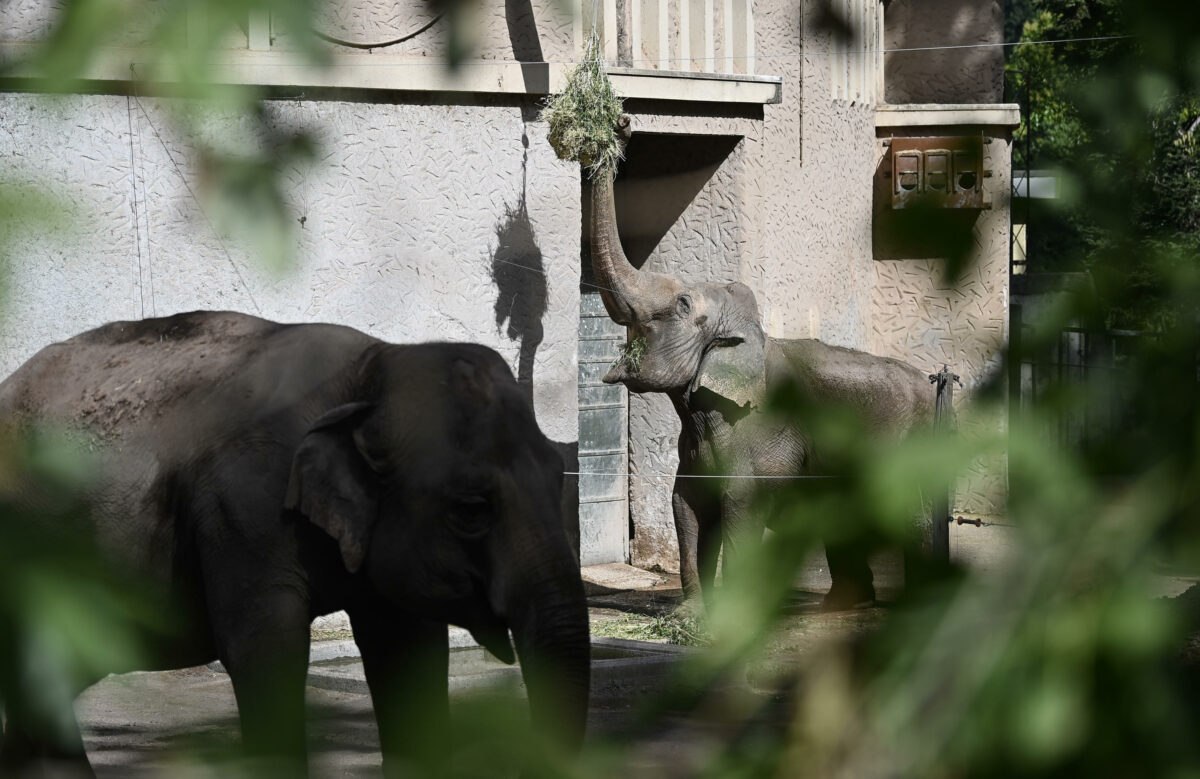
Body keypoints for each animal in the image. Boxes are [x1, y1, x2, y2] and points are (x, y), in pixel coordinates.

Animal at [0, 312, 590, 777]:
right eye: (471, 510)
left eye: (557, 474)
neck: (371, 370)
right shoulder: (243, 508)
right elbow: (265, 651)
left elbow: (410, 654)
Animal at [590, 118, 936, 609]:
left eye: (681, 305)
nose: (622, 124)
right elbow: (686, 505)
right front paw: (691, 613)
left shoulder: (760, 432)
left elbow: (741, 504)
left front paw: (732, 612)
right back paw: (842, 606)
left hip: (907, 442)